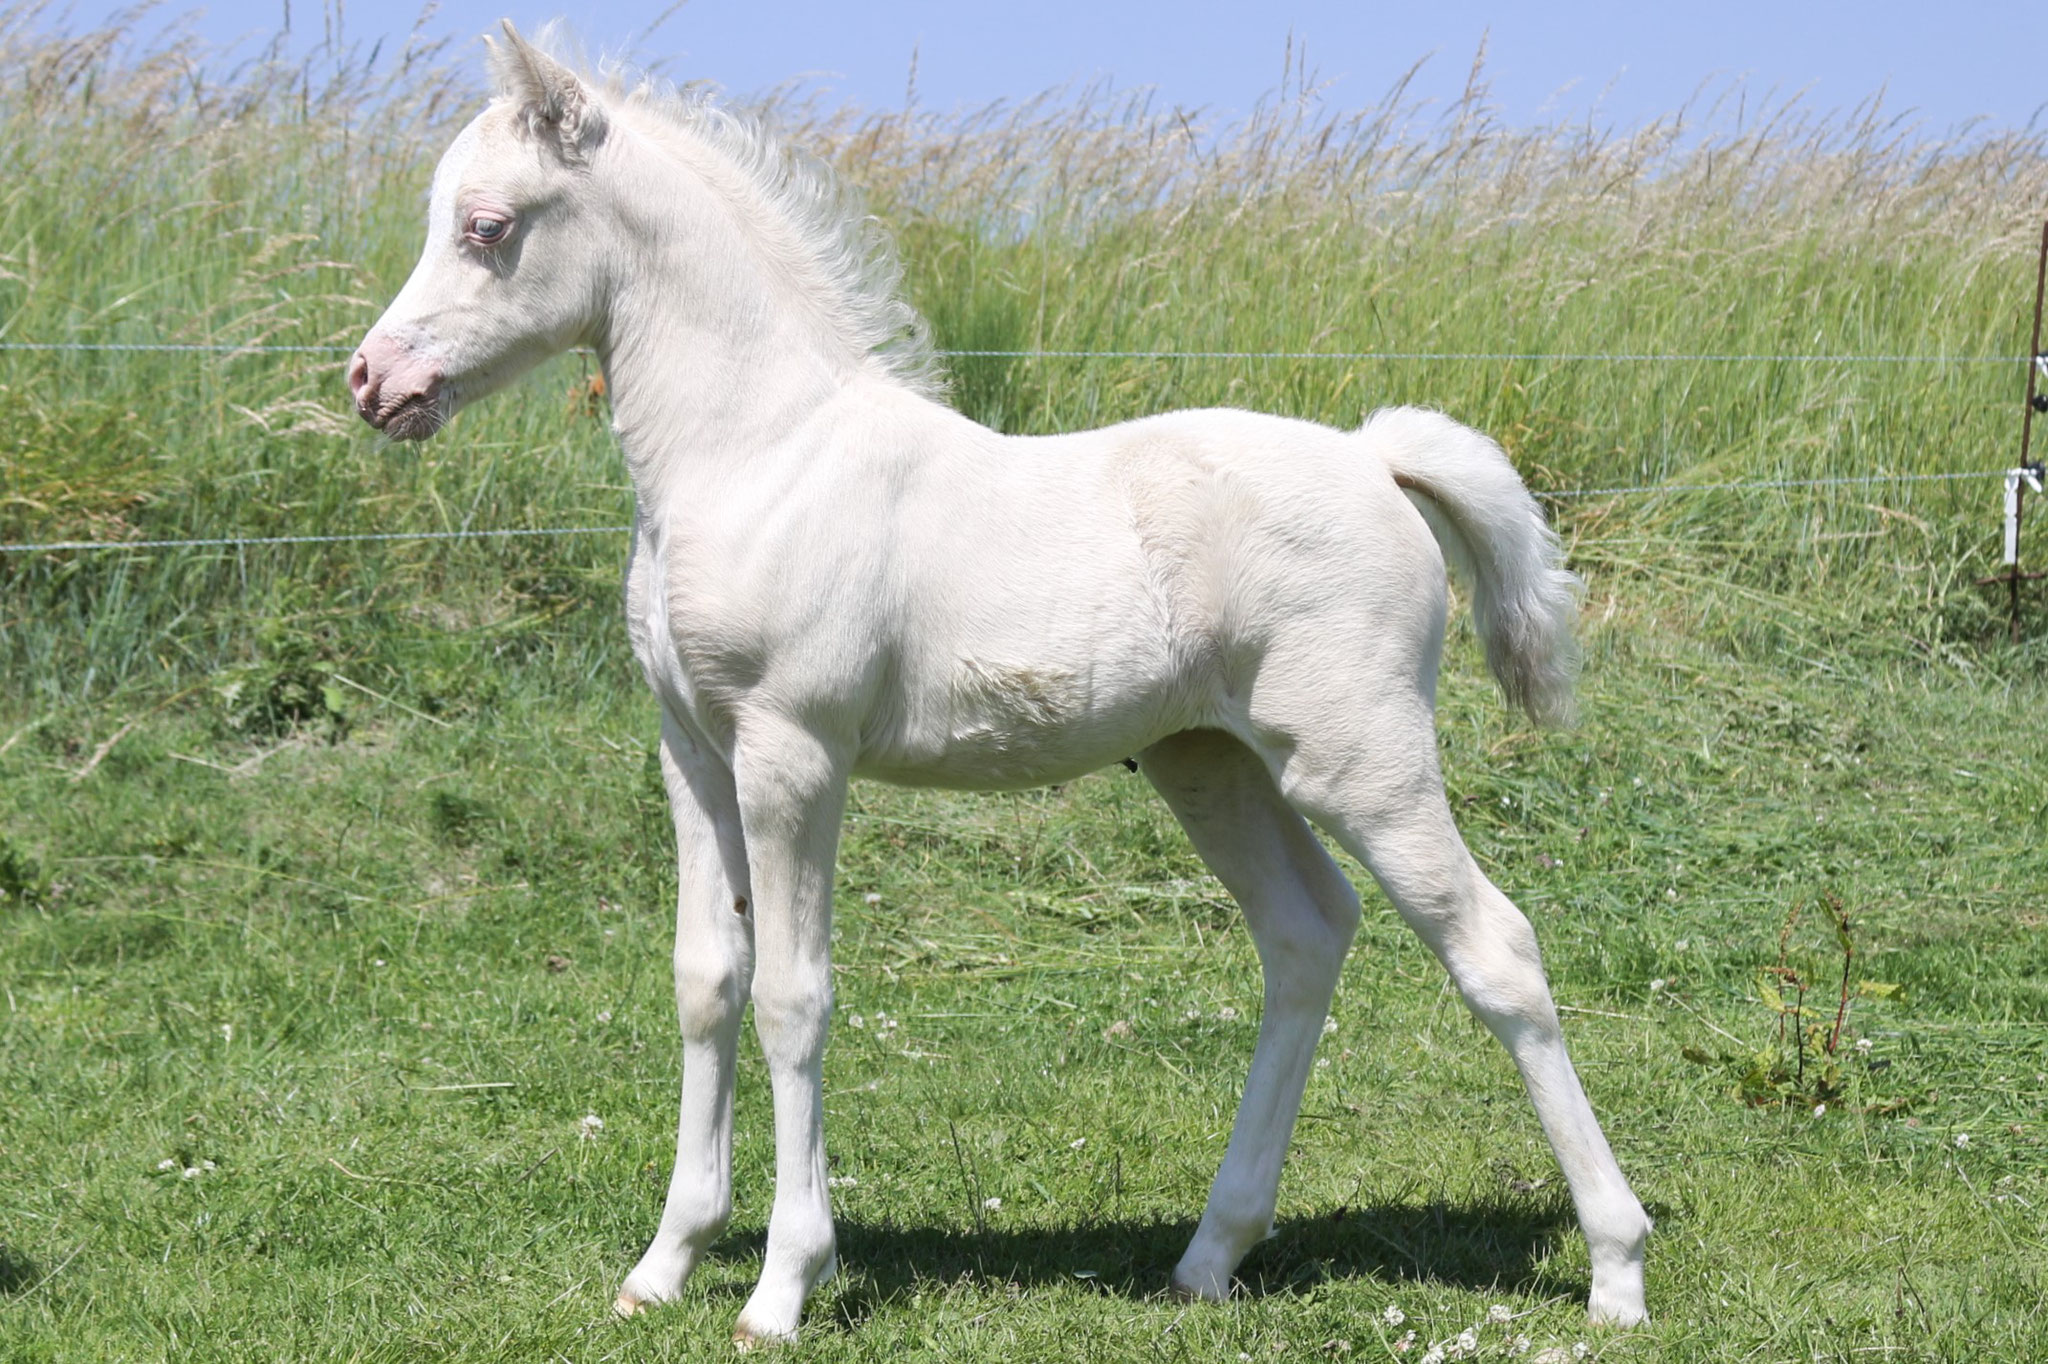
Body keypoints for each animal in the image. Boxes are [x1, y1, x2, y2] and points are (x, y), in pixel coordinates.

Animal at [352, 21, 1654, 1335]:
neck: (761, 454)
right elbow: (707, 980)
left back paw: (1615, 1267)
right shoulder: (693, 747)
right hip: (1209, 759)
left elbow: (792, 995)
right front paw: (665, 1262)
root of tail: (1373, 456)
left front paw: (781, 1283)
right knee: (1303, 931)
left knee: (1496, 947)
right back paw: (1208, 1254)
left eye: (486, 224)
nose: (371, 379)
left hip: (1360, 757)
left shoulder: (792, 749)